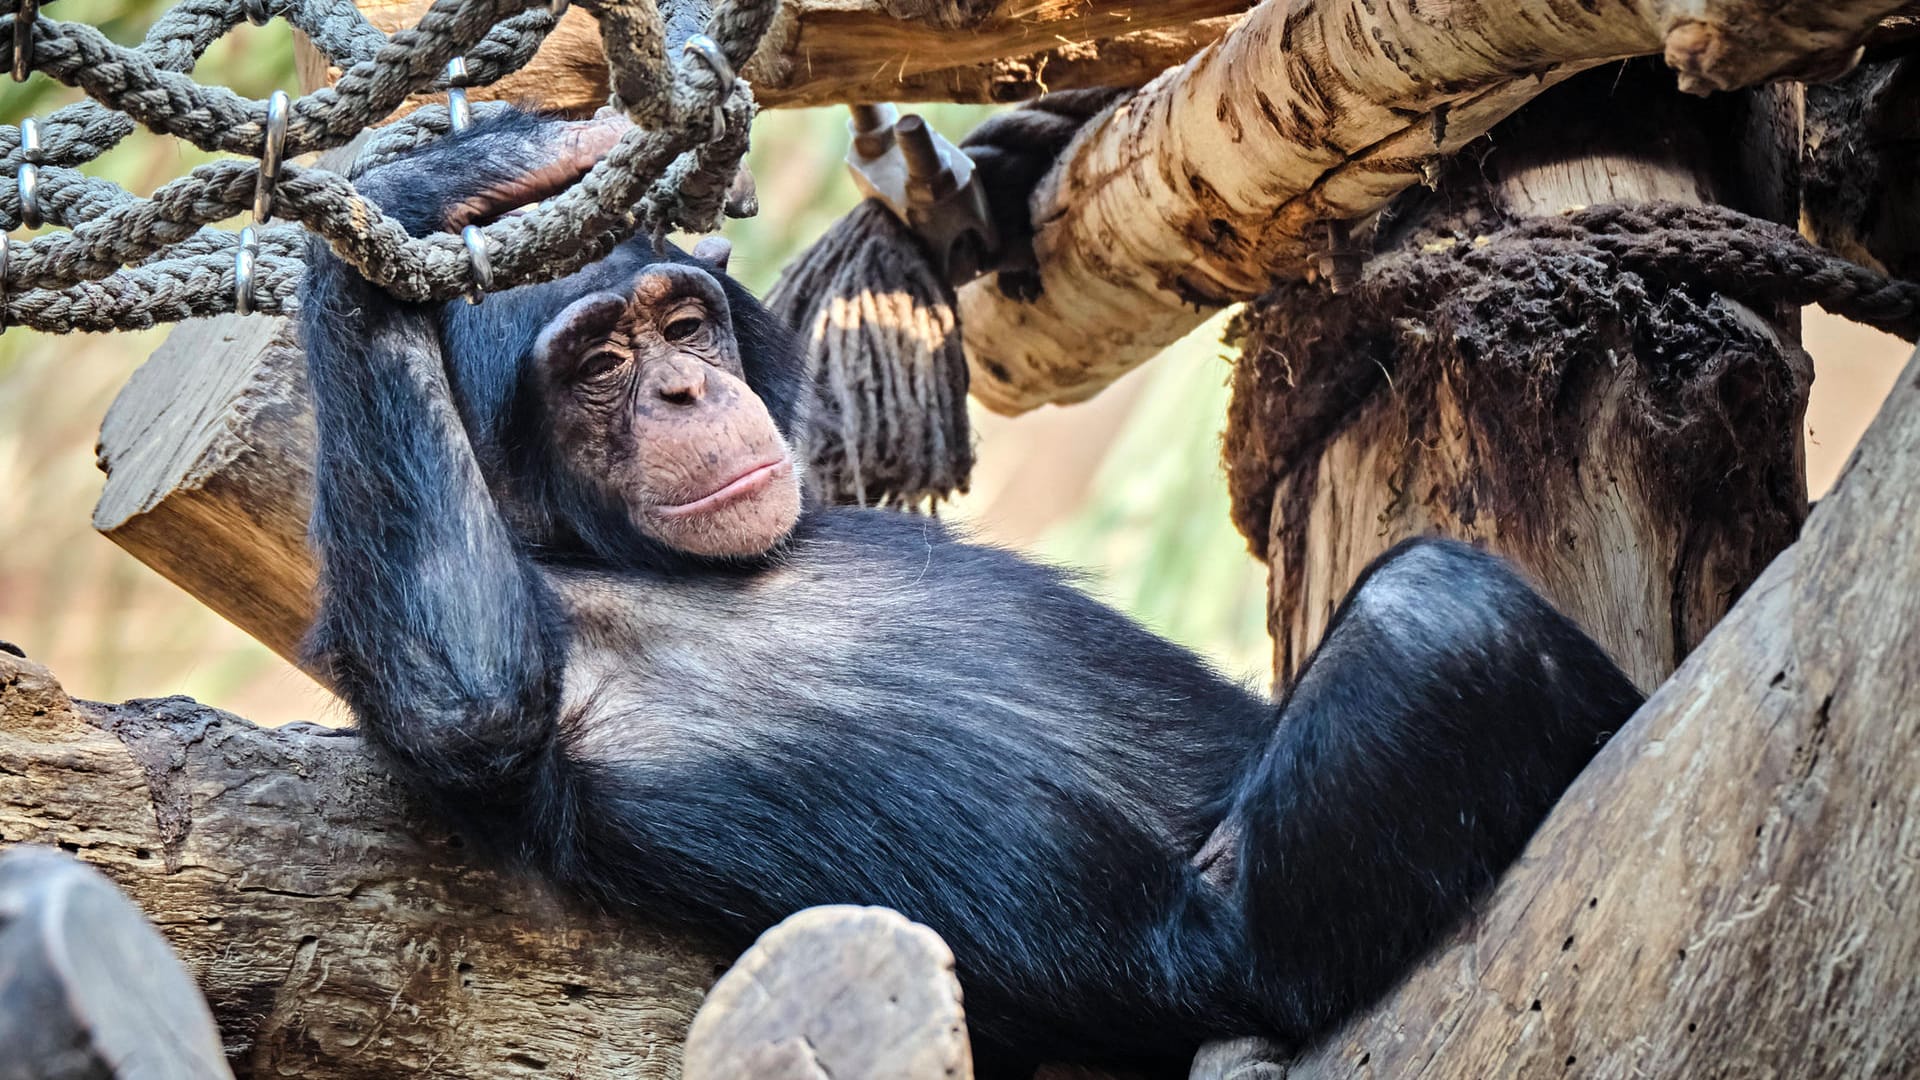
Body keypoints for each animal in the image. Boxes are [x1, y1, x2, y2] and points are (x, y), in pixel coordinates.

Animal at [299, 107, 1651, 1068]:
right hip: (1280, 938)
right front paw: (439, 181)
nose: (683, 389)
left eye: (681, 326)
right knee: (1438, 618)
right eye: (597, 364)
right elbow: (465, 689)